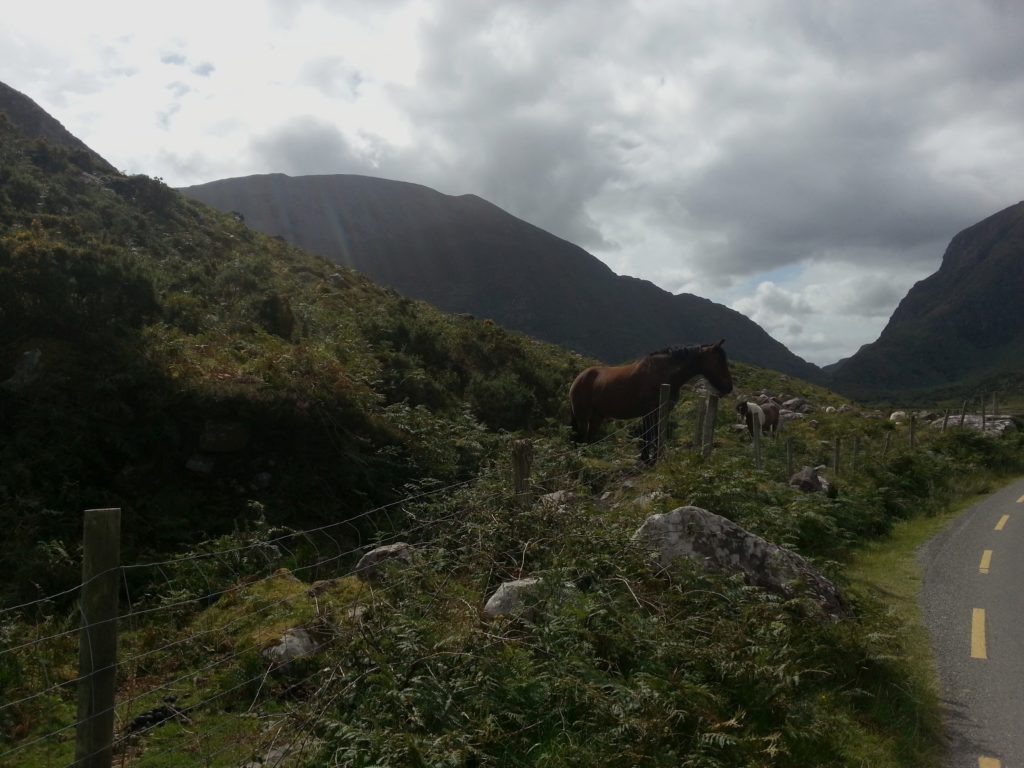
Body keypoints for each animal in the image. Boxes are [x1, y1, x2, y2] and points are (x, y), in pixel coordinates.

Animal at [573, 337, 733, 460]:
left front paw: (652, 457)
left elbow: (655, 433)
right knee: (582, 433)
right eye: (719, 361)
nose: (729, 387)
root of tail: (579, 377)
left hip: (597, 416)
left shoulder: (662, 410)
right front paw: (647, 458)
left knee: (590, 434)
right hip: (582, 415)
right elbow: (649, 434)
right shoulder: (649, 412)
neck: (664, 375)